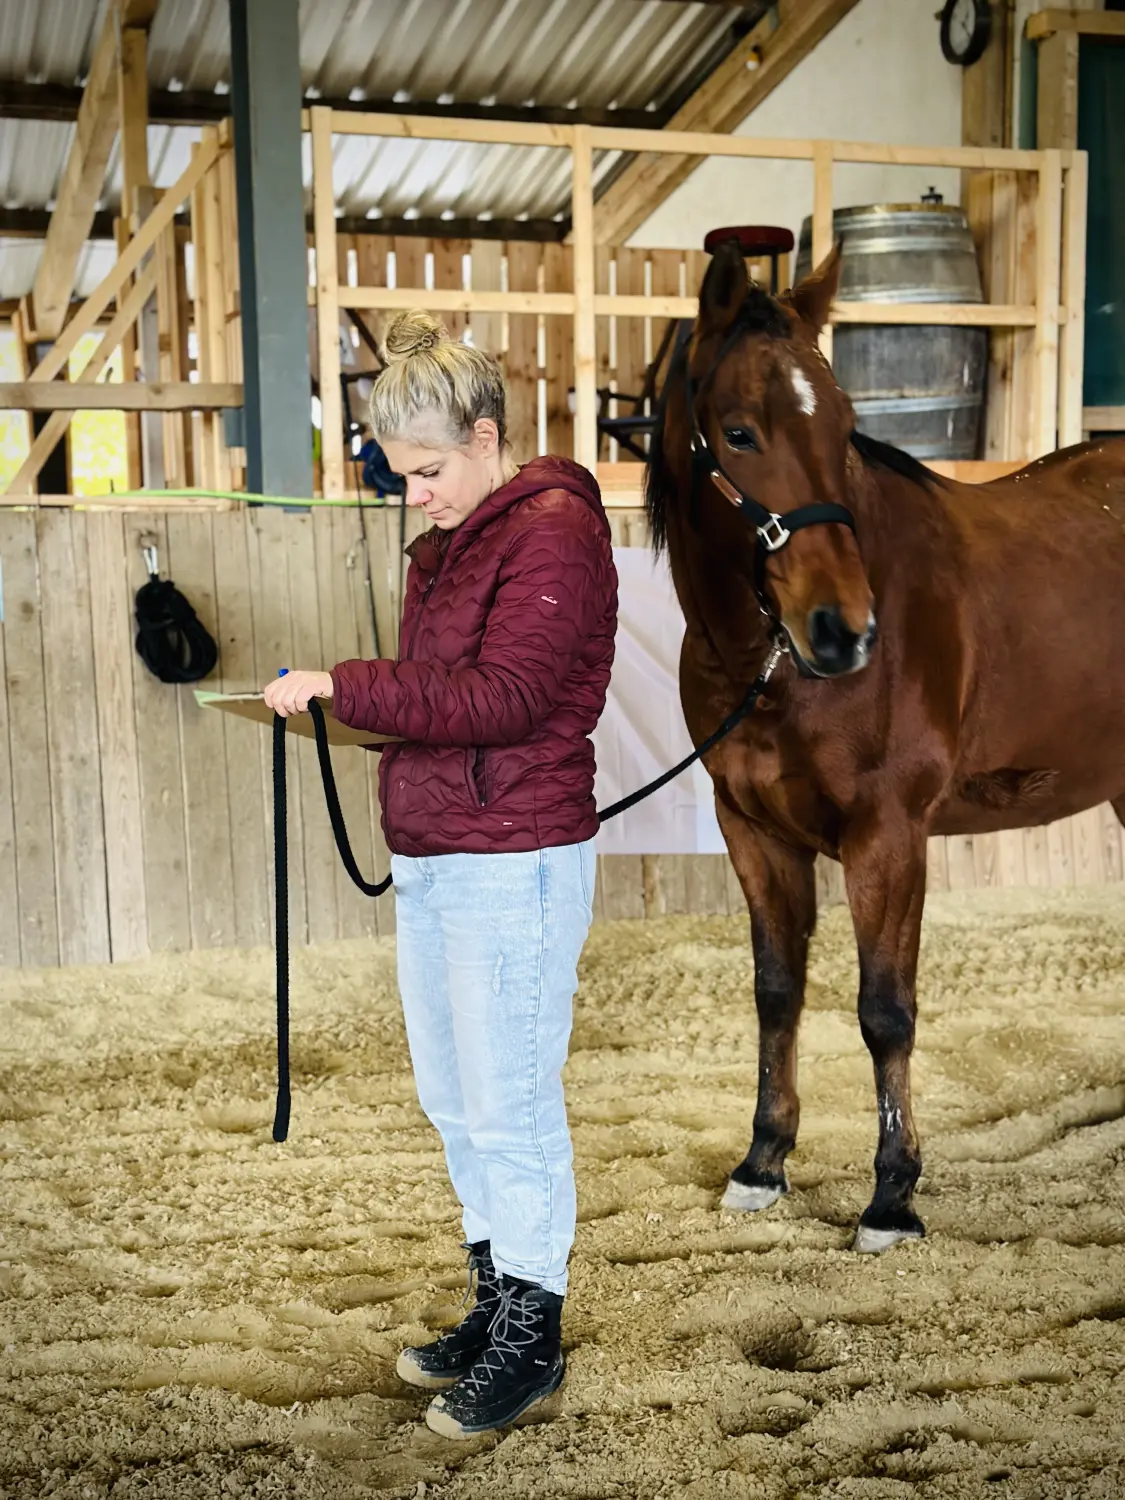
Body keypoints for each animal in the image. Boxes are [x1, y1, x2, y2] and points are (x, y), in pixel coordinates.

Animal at [648, 240, 1125, 1254]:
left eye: (842, 423)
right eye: (738, 433)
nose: (844, 631)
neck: (770, 667)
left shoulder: (889, 835)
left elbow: (883, 1010)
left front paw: (892, 1196)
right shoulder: (753, 831)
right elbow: (777, 991)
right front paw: (762, 1163)